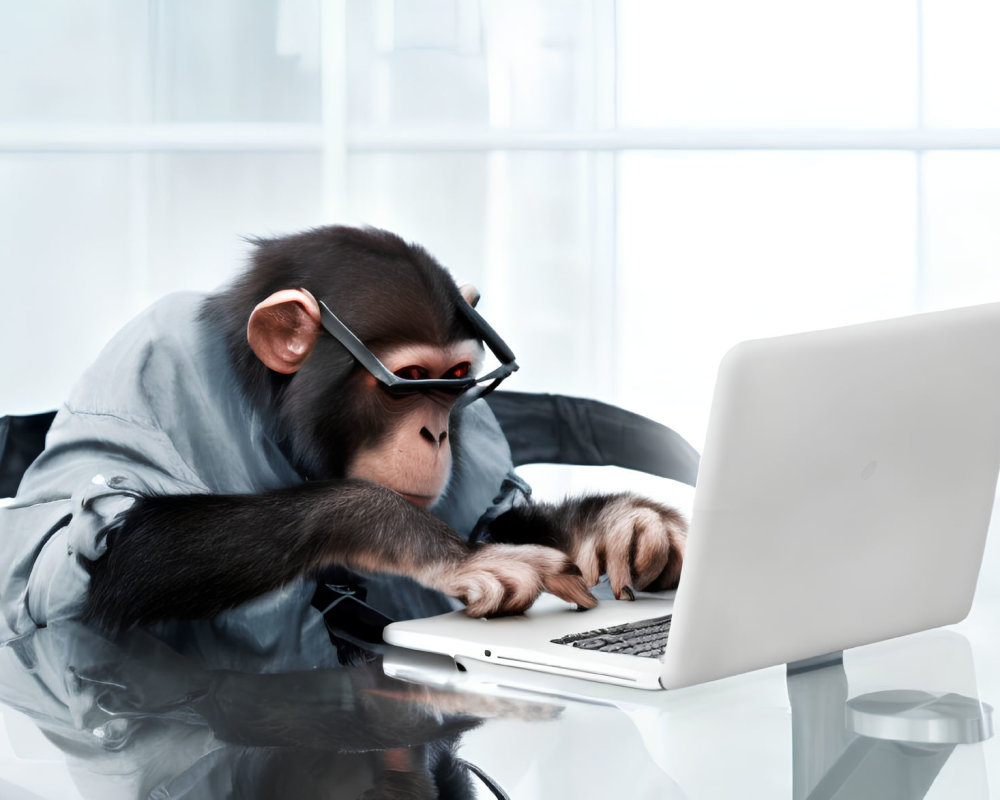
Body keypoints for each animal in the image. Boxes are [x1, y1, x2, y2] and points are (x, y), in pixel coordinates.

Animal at [0, 222, 688, 652]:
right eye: (410, 381)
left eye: (455, 380)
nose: (436, 431)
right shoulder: (145, 374)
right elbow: (99, 546)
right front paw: (432, 546)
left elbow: (499, 514)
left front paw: (616, 524)